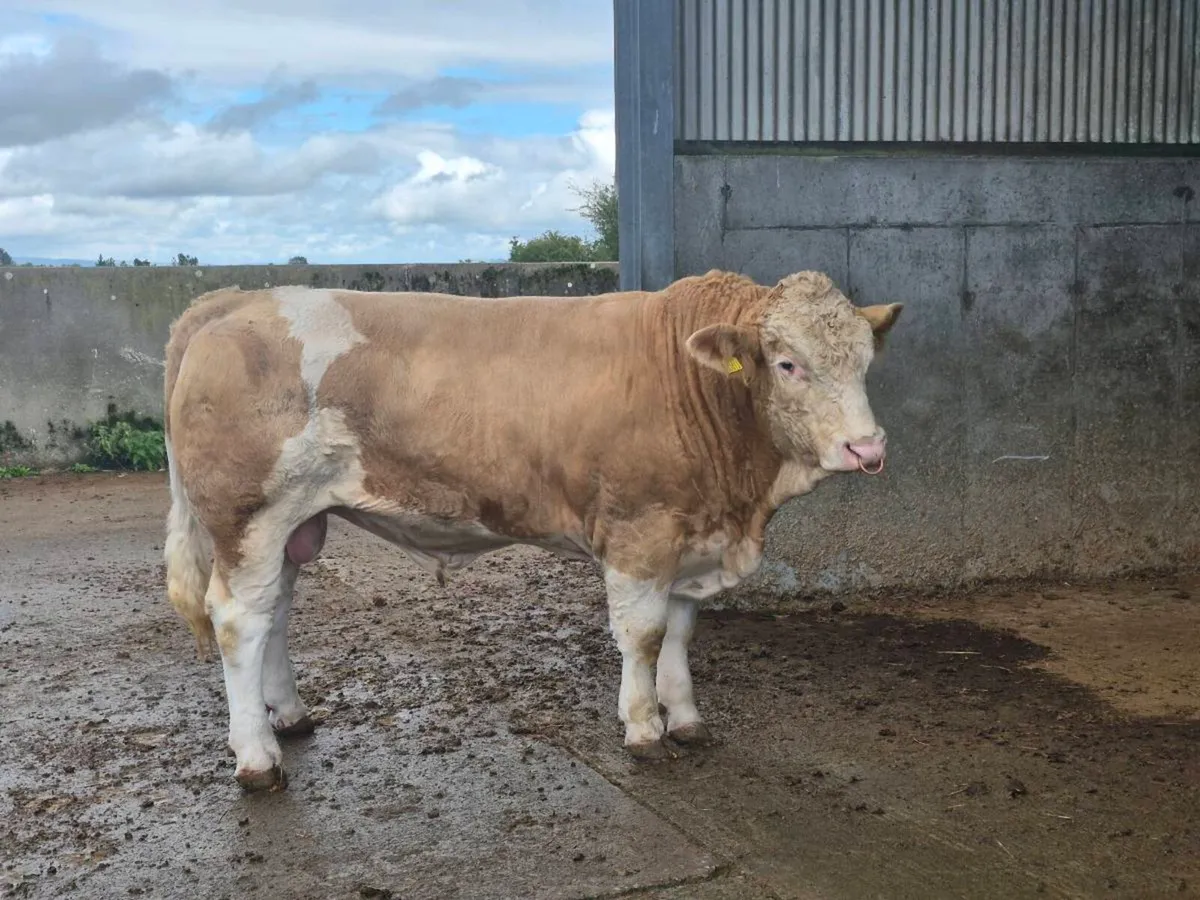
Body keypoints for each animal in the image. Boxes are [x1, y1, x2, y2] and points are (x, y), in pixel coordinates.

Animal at [162, 268, 902, 791]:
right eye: (788, 363)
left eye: (866, 363)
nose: (867, 448)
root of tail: (231, 300)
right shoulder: (639, 531)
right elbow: (644, 634)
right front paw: (643, 727)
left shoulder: (692, 538)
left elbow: (682, 632)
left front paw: (686, 718)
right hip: (250, 515)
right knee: (239, 621)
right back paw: (257, 758)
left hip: (293, 524)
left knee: (276, 612)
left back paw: (287, 716)